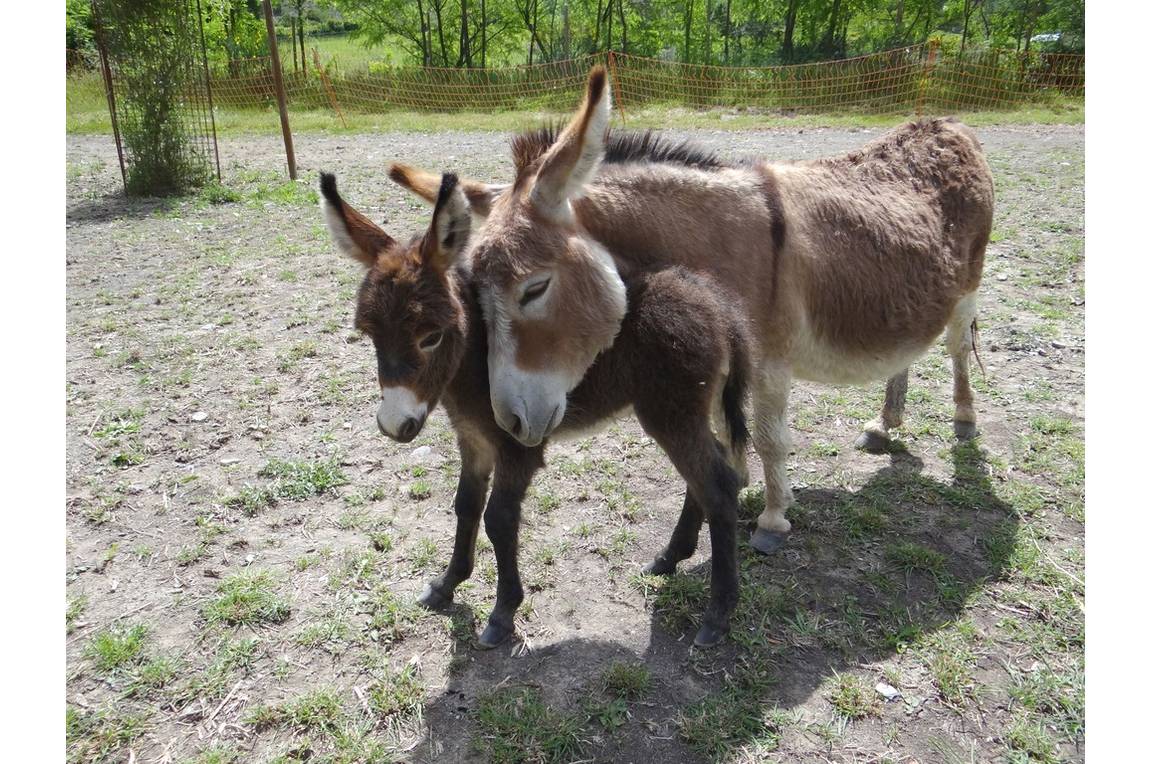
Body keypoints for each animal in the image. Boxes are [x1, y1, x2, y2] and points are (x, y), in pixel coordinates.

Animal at [324, 171, 755, 645]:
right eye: (370, 335)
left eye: (431, 337)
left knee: (719, 485)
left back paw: (718, 613)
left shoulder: (518, 446)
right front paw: (447, 584)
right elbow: (465, 505)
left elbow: (499, 518)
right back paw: (669, 558)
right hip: (683, 411)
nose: (393, 425)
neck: (473, 361)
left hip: (671, 413)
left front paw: (502, 613)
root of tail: (717, 306)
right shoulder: (473, 441)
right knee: (705, 476)